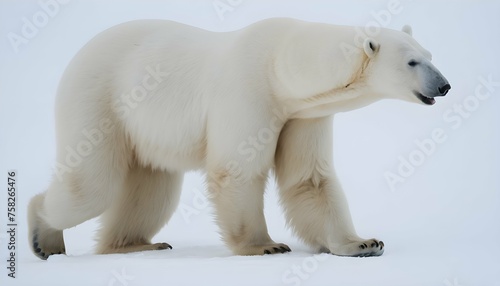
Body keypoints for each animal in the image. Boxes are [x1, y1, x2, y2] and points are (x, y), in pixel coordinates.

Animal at [27, 17, 450, 260]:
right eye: (412, 61)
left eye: (431, 54)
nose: (445, 85)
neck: (282, 65)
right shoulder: (249, 92)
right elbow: (238, 169)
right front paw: (265, 245)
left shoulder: (303, 114)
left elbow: (308, 179)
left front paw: (362, 243)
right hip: (99, 99)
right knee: (92, 185)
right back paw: (44, 237)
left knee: (152, 189)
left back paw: (135, 244)